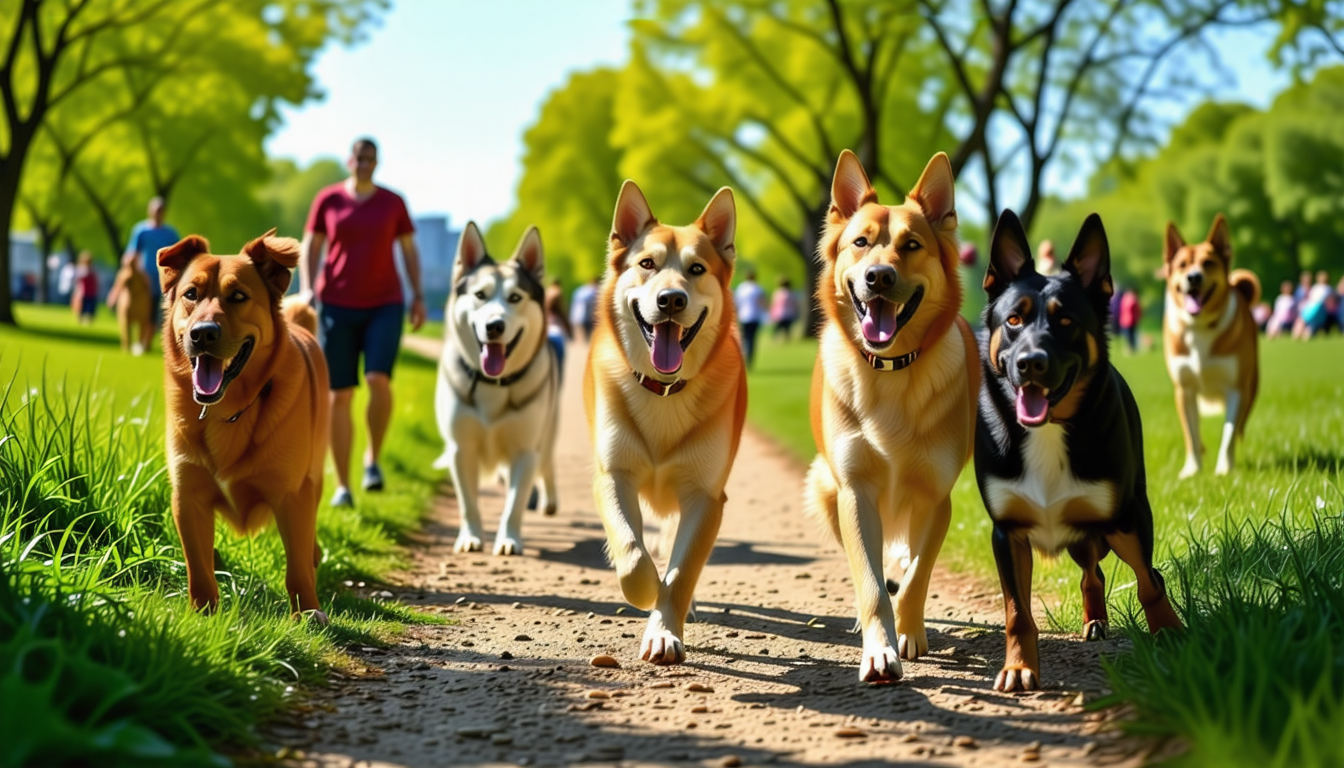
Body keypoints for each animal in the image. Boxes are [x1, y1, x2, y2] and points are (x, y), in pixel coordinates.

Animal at [157, 229, 333, 624]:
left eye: (238, 296)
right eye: (191, 294)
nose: (203, 334)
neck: (230, 408)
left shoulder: (293, 495)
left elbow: (297, 565)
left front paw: (307, 610)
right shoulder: (187, 496)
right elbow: (198, 565)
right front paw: (203, 612)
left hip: (314, 473)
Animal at [430, 223, 556, 559]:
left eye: (515, 297)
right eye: (480, 295)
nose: (494, 326)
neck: (493, 384)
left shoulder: (525, 450)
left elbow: (513, 504)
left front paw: (509, 540)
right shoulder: (460, 449)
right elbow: (468, 503)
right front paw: (471, 537)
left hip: (548, 431)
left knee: (547, 463)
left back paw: (549, 500)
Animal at [795, 149, 978, 685]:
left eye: (911, 245)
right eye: (860, 242)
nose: (879, 276)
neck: (891, 370)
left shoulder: (937, 499)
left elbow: (916, 574)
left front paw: (910, 633)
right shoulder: (855, 493)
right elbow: (873, 584)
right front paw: (880, 650)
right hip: (824, 487)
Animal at [973, 213, 1182, 694]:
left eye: (1066, 320)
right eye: (1014, 319)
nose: (1030, 362)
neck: (1048, 431)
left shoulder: (1124, 518)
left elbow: (1149, 584)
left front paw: (1169, 634)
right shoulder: (1007, 534)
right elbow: (1017, 611)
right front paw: (1019, 666)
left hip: (1119, 522)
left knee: (1134, 573)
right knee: (1093, 573)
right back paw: (1094, 620)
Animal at [1166, 216, 1257, 478]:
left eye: (1208, 263)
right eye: (1182, 265)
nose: (1193, 277)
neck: (1200, 327)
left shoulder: (1236, 388)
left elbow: (1229, 431)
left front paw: (1224, 469)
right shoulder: (1184, 390)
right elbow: (1191, 434)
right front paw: (1192, 469)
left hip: (1252, 385)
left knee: (1241, 426)